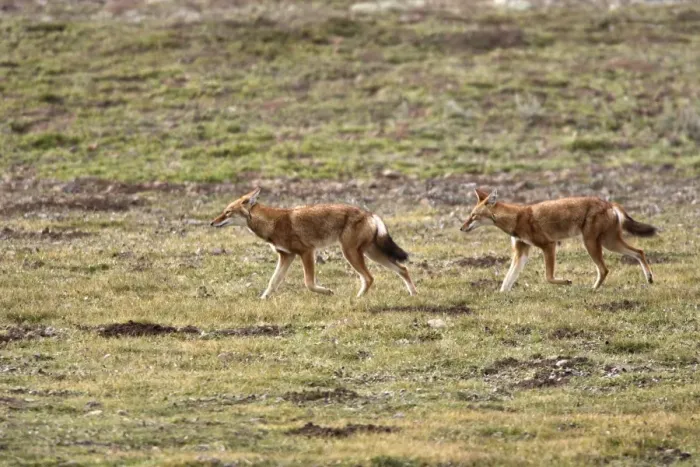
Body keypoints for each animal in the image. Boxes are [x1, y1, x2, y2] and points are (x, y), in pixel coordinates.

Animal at [210, 187, 417, 299]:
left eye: (227, 212)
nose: (211, 223)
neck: (273, 223)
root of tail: (368, 212)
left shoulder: (307, 252)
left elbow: (308, 283)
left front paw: (327, 291)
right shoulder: (286, 256)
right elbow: (272, 282)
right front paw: (263, 300)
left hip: (351, 254)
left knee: (369, 277)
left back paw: (357, 299)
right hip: (371, 254)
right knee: (403, 269)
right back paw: (413, 294)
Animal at [460, 188, 657, 292]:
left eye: (473, 216)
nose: (461, 228)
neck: (516, 218)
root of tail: (609, 203)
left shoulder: (549, 245)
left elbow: (548, 277)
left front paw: (567, 281)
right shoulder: (521, 252)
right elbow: (507, 281)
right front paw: (501, 296)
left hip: (594, 244)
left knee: (605, 269)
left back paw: (592, 290)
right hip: (609, 243)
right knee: (639, 252)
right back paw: (649, 279)